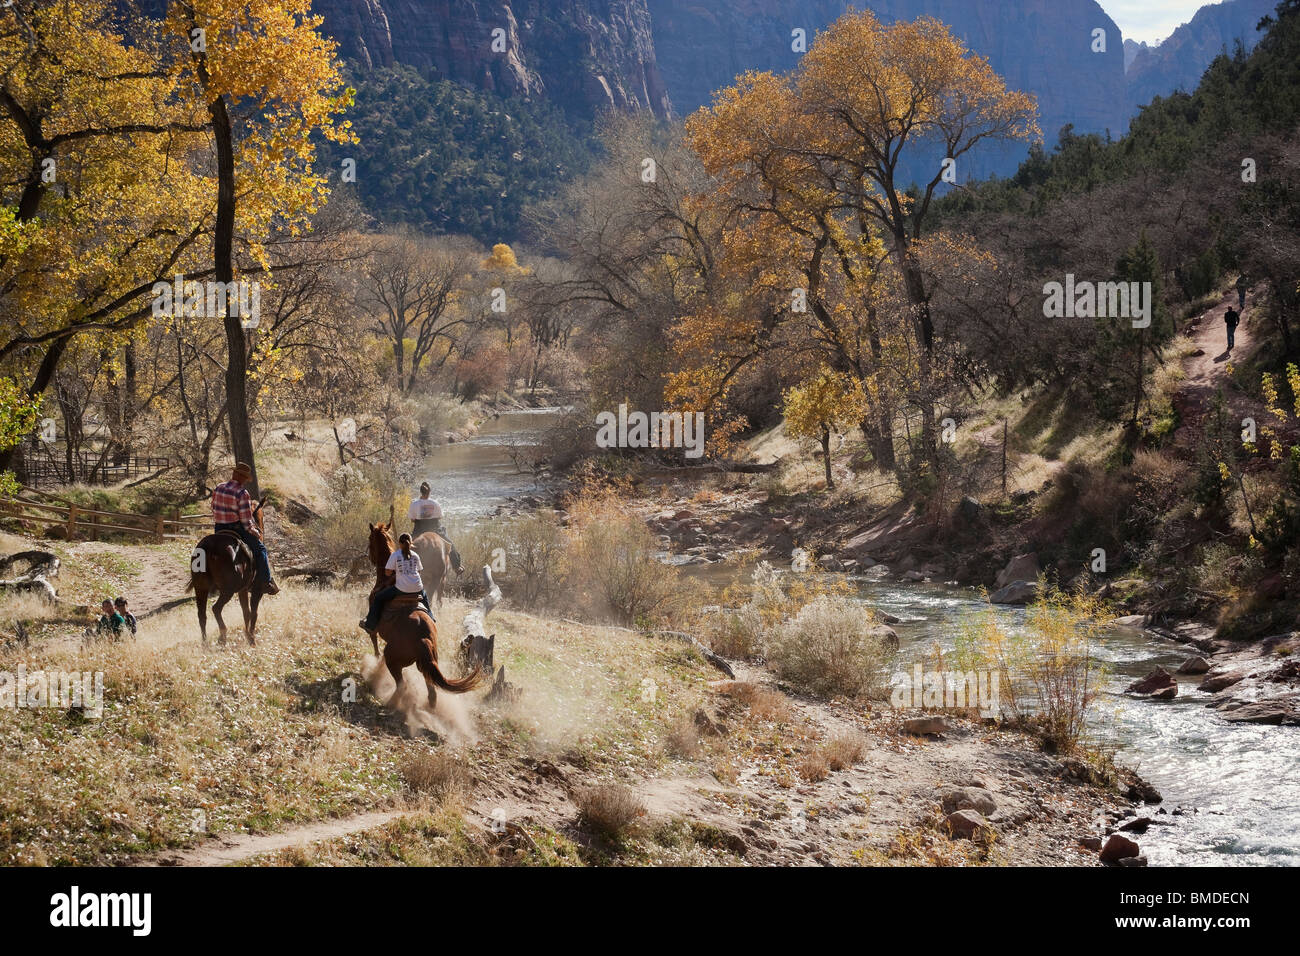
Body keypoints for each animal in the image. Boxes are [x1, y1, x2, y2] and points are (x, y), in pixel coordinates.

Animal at [185, 502, 263, 650]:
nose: (260, 532)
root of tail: (209, 547)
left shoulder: (243, 589)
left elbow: (247, 612)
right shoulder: (248, 589)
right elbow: (250, 612)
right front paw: (250, 638)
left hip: (201, 588)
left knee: (202, 615)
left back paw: (205, 643)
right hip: (227, 591)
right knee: (216, 608)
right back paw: (222, 636)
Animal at [361, 522, 483, 712]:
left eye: (370, 539)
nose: (369, 557)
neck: (387, 579)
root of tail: (423, 638)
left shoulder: (373, 619)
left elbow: (372, 637)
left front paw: (375, 657)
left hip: (395, 660)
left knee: (402, 685)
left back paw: (390, 703)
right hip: (427, 664)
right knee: (432, 692)